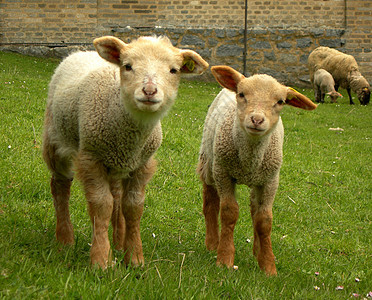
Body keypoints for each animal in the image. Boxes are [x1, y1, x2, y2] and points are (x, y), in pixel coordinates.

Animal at [42, 35, 209, 270]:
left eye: (173, 70)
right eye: (127, 66)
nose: (149, 91)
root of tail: (81, 52)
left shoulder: (142, 164)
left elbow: (133, 207)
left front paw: (134, 258)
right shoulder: (91, 157)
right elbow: (101, 205)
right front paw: (101, 260)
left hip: (115, 164)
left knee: (116, 196)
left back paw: (119, 243)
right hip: (55, 139)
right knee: (60, 186)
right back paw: (65, 239)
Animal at [196, 66, 316, 276]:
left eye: (281, 102)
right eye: (242, 94)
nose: (257, 119)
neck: (249, 159)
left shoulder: (270, 181)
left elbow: (264, 220)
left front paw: (268, 265)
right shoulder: (224, 173)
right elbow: (229, 212)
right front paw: (224, 258)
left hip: (257, 179)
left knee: (254, 207)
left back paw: (257, 249)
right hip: (209, 162)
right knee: (210, 201)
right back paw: (212, 243)